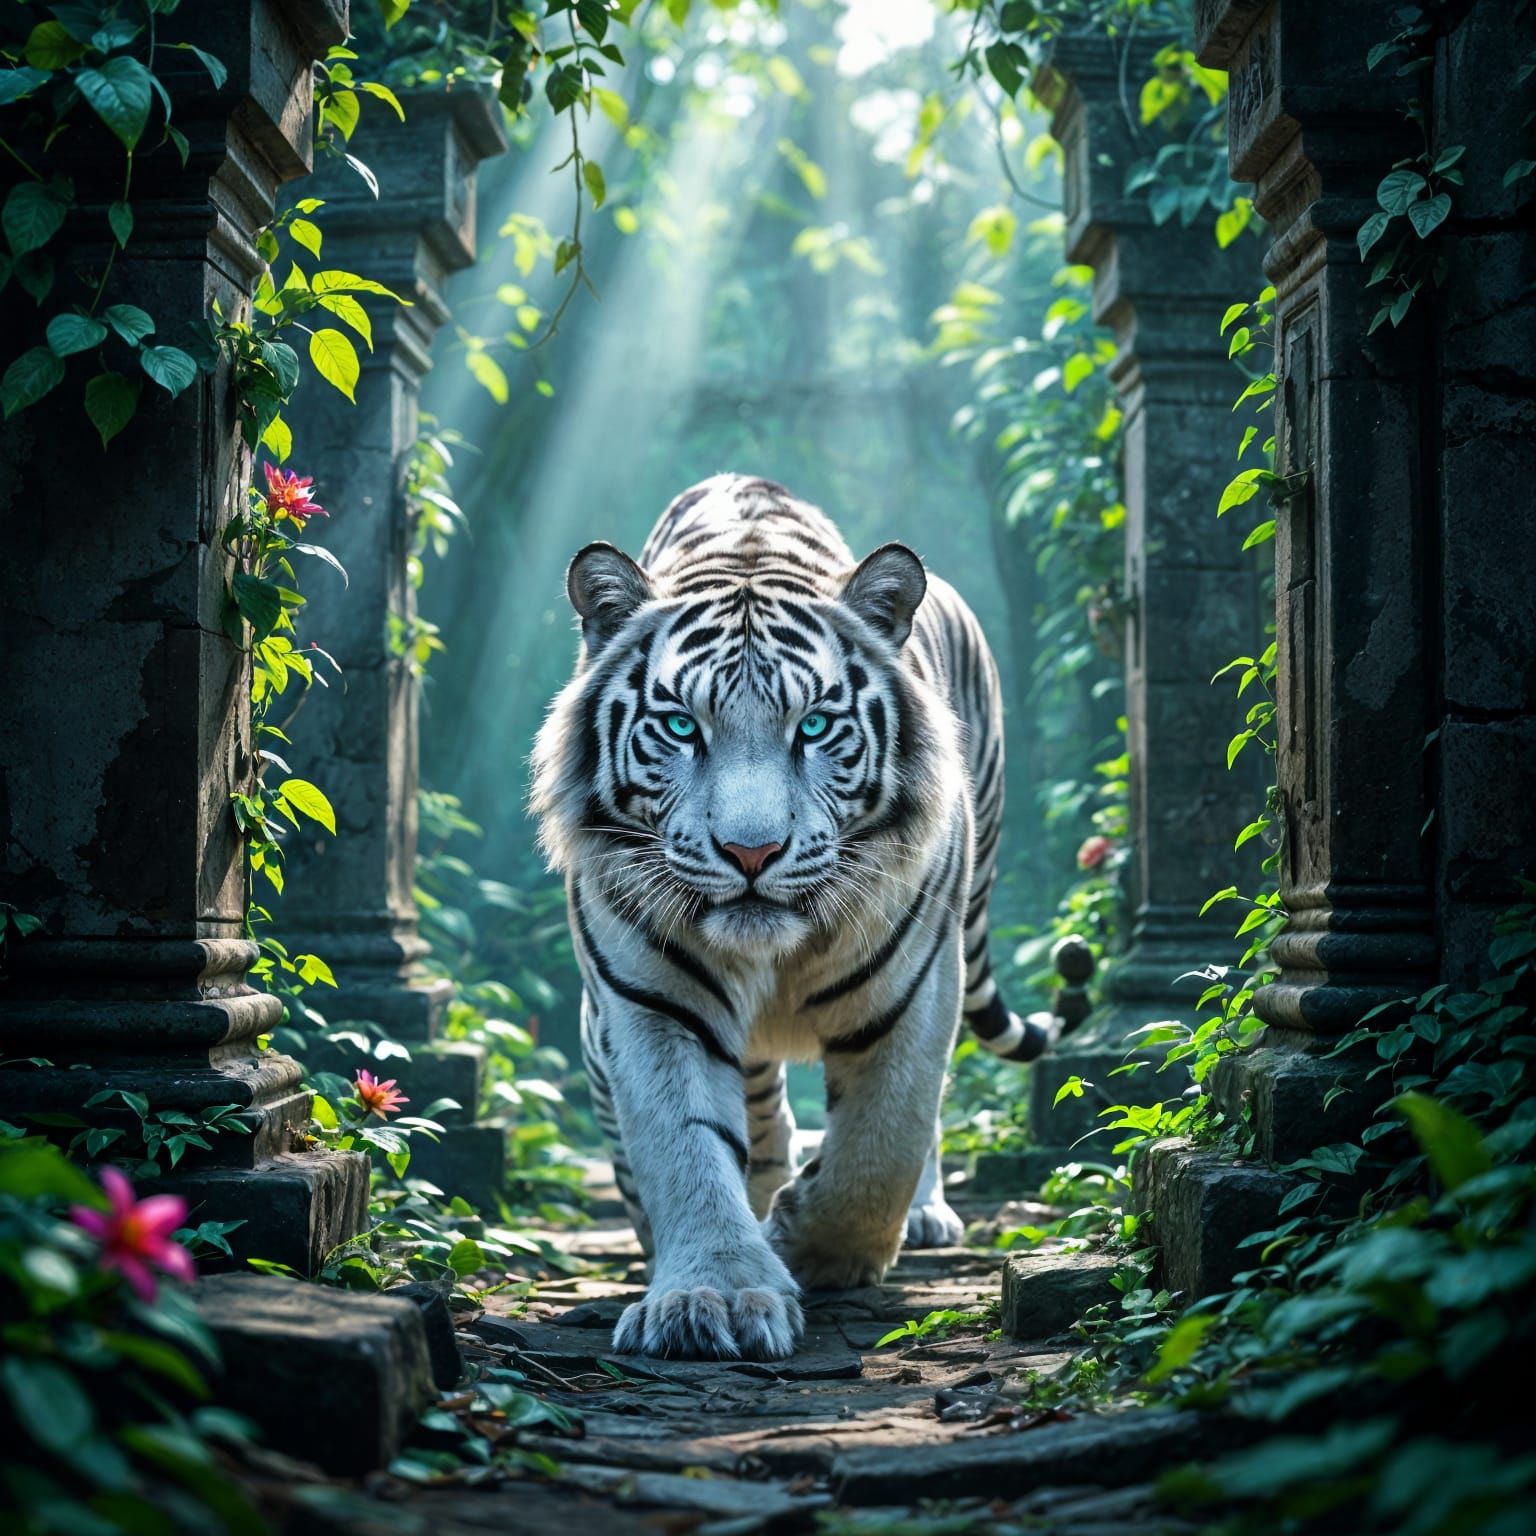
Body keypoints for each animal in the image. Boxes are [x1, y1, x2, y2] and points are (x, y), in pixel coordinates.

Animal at [531, 473, 1059, 1361]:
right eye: (681, 726)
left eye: (814, 725)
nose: (752, 852)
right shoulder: (649, 1000)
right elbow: (685, 1144)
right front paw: (713, 1293)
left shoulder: (918, 986)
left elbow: (881, 1144)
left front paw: (810, 1248)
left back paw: (919, 1214)